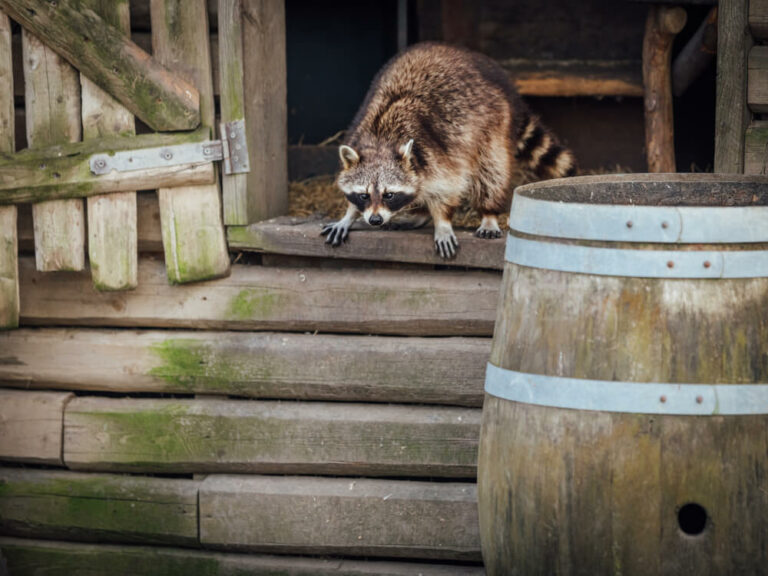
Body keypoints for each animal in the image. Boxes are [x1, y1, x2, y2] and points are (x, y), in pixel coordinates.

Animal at [320, 40, 576, 256]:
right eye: (363, 195)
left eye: (389, 194)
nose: (374, 220)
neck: (381, 140)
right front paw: (349, 214)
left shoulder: (438, 154)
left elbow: (448, 188)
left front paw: (442, 222)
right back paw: (421, 214)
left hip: (492, 122)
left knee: (491, 170)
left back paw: (488, 212)